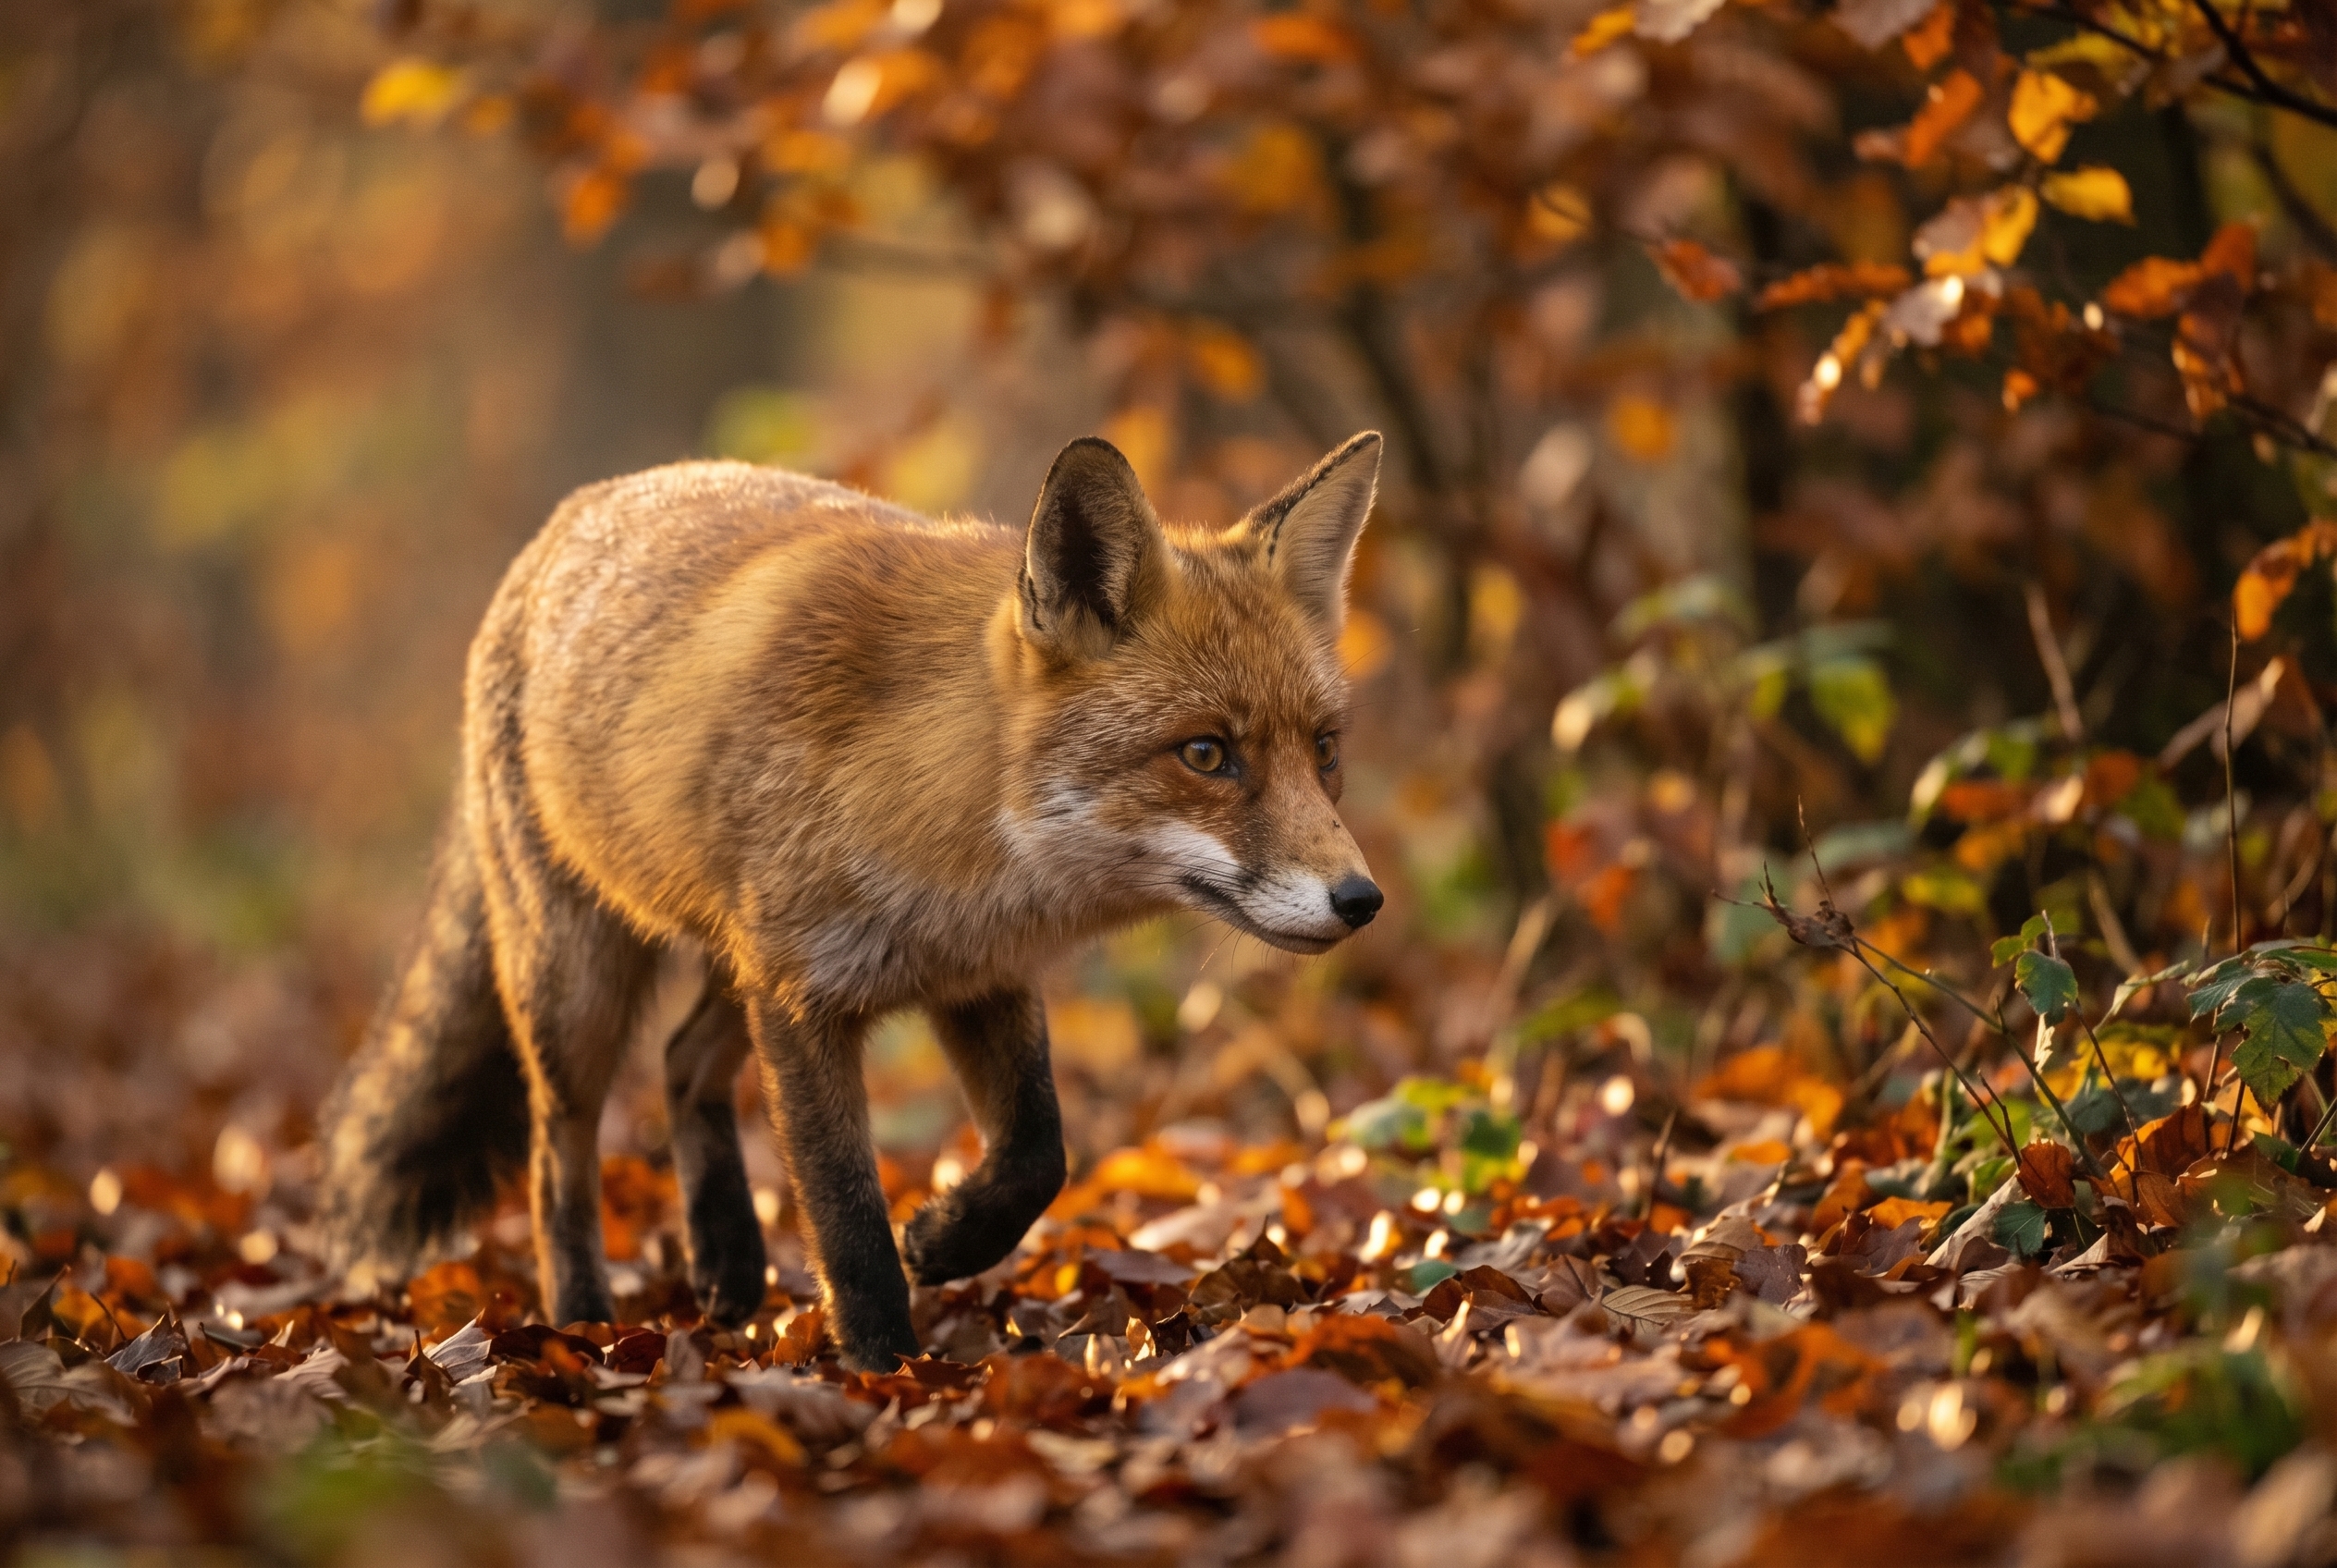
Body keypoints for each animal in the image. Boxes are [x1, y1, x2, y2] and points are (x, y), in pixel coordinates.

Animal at [317, 430, 1386, 1371]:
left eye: (1326, 749)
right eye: (1205, 752)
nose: (1362, 899)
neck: (945, 818)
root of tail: (567, 518)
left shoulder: (973, 977)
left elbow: (1037, 1154)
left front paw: (947, 1239)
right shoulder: (804, 1002)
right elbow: (846, 1215)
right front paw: (884, 1367)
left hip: (730, 961)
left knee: (681, 1064)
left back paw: (726, 1264)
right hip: (579, 987)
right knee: (558, 1157)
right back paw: (578, 1322)